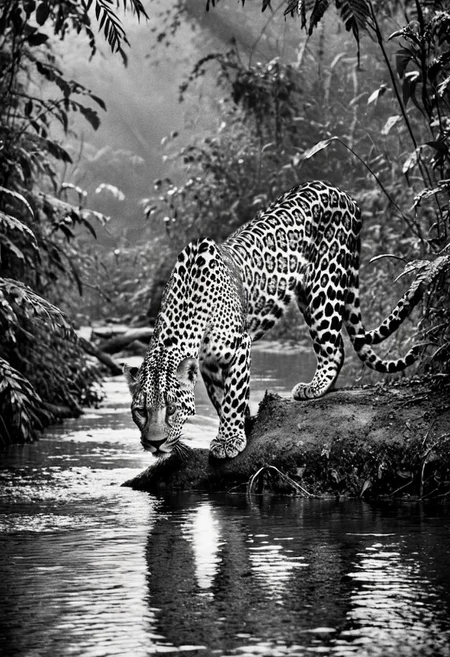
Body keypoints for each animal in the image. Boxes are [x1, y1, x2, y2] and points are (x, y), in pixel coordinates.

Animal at [125, 180, 423, 460]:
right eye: (140, 411)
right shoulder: (209, 364)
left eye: (171, 409)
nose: (155, 443)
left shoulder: (239, 346)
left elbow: (233, 396)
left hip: (323, 286)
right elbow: (221, 397)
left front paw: (229, 440)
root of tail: (344, 193)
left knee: (334, 346)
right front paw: (240, 422)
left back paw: (314, 387)